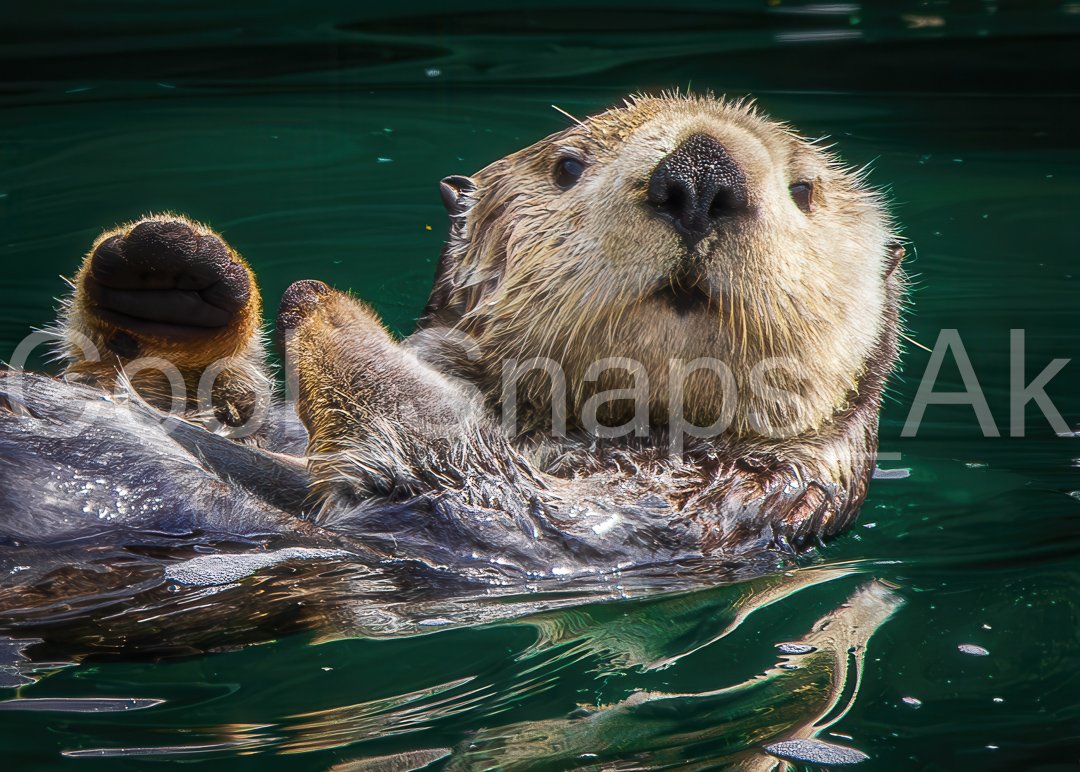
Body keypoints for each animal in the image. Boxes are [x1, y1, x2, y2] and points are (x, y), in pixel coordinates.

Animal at [0, 94, 905, 595]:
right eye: (569, 165)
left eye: (805, 190)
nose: (701, 174)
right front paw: (170, 274)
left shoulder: (659, 510)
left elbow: (433, 464)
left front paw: (320, 302)